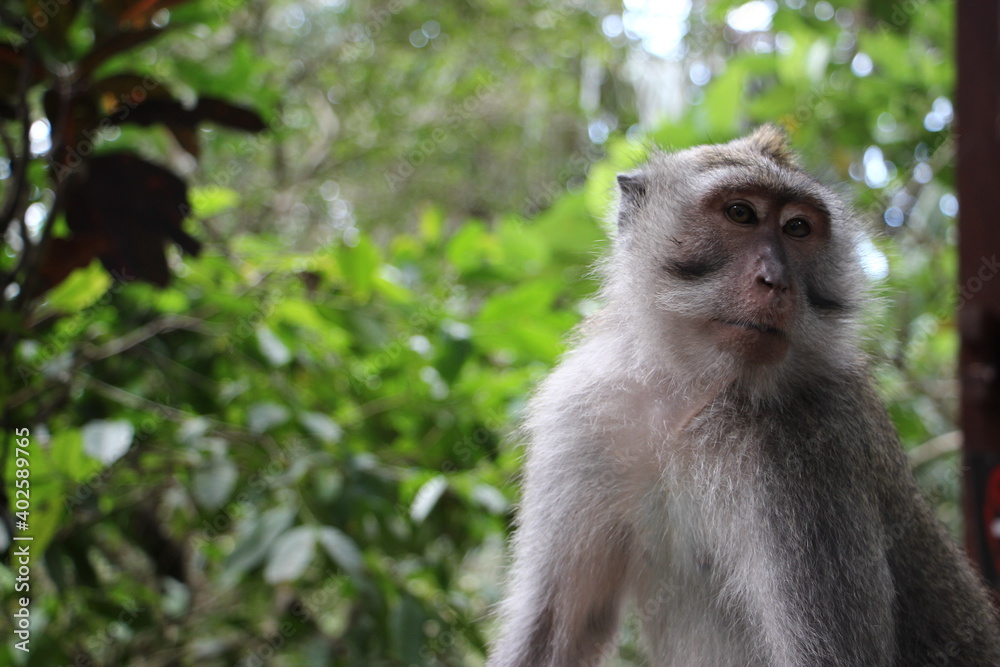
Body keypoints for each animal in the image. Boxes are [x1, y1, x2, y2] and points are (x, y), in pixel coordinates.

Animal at [488, 126, 1000, 667]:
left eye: (797, 228)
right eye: (740, 213)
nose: (776, 281)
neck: (690, 400)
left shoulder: (807, 455)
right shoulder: (582, 415)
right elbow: (554, 628)